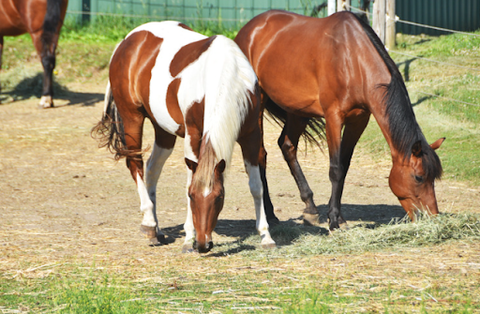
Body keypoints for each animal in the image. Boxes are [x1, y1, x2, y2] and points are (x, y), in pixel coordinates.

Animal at [92, 21, 276, 253]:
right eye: (191, 196)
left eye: (220, 197)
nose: (203, 244)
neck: (225, 74)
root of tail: (127, 40)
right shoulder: (193, 134)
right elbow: (190, 178)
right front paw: (188, 238)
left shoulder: (251, 135)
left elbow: (256, 185)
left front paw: (266, 235)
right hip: (131, 117)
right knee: (136, 164)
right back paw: (149, 223)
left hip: (163, 131)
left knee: (151, 169)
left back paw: (156, 229)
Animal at [234, 10, 444, 231]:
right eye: (419, 177)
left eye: (434, 178)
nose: (433, 217)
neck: (354, 59)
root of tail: (248, 30)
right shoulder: (333, 118)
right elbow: (335, 169)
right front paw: (334, 221)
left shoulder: (358, 121)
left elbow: (344, 166)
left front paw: (337, 215)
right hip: (258, 102)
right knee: (259, 155)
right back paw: (270, 213)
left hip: (297, 110)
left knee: (287, 146)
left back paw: (310, 207)